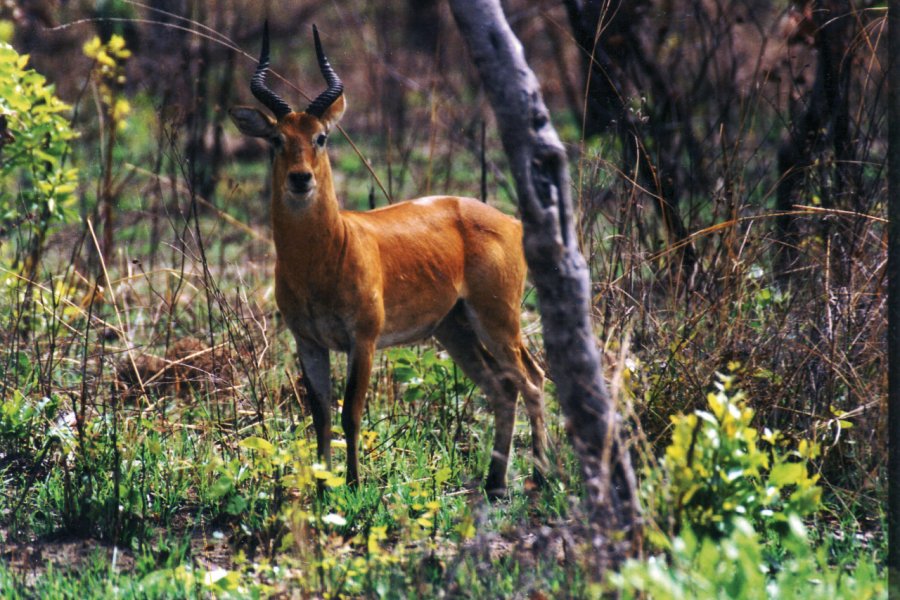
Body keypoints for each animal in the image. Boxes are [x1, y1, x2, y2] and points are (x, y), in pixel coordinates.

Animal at [229, 23, 544, 496]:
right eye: (277, 139)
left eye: (321, 137)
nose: (300, 179)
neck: (325, 254)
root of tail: (510, 221)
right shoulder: (308, 341)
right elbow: (320, 415)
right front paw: (323, 488)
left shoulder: (363, 338)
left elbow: (350, 413)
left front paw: (355, 484)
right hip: (455, 328)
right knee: (503, 386)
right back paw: (495, 482)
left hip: (498, 319)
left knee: (533, 379)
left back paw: (541, 476)